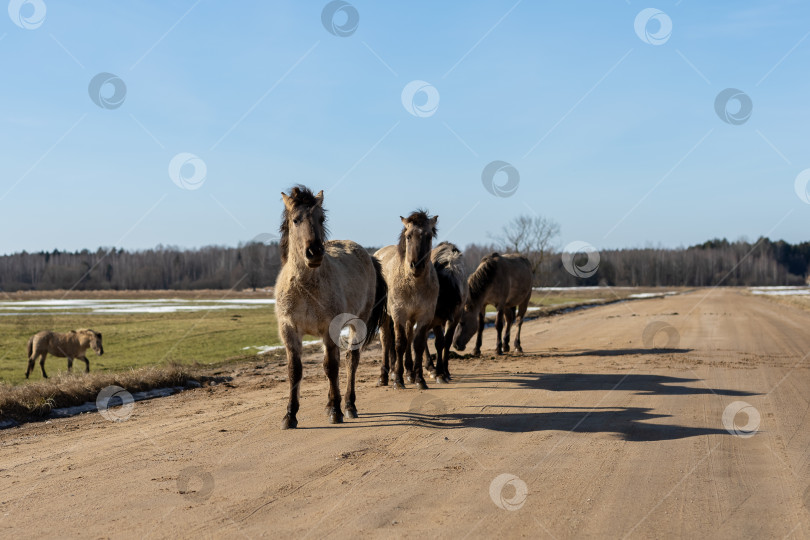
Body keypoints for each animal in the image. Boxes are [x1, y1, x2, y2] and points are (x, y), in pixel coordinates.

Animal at [274, 186, 387, 429]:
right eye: (296, 220)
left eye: (321, 218)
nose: (315, 252)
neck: (306, 287)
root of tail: (368, 255)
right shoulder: (289, 330)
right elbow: (294, 370)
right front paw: (290, 415)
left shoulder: (329, 329)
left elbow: (331, 367)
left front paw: (336, 411)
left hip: (358, 323)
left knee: (351, 360)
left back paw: (349, 405)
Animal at [375, 211, 439, 390]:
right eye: (409, 236)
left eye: (429, 236)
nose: (416, 265)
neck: (414, 283)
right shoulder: (399, 314)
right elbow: (399, 344)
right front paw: (397, 380)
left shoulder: (424, 315)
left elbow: (417, 344)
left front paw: (419, 379)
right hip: (385, 316)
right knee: (386, 341)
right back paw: (384, 377)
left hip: (410, 319)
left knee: (409, 337)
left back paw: (409, 373)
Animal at [422, 242, 468, 384]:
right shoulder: (435, 318)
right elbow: (439, 342)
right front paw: (439, 373)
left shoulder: (454, 317)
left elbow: (446, 342)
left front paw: (444, 371)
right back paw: (430, 367)